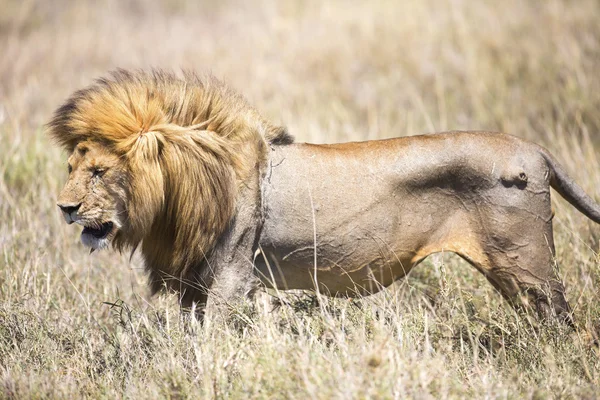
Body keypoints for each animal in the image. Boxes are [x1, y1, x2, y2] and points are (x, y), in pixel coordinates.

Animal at [47, 69, 600, 324]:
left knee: (563, 323)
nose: (64, 209)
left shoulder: (231, 275)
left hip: (527, 263)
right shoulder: (193, 281)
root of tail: (536, 150)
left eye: (99, 172)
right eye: (71, 168)